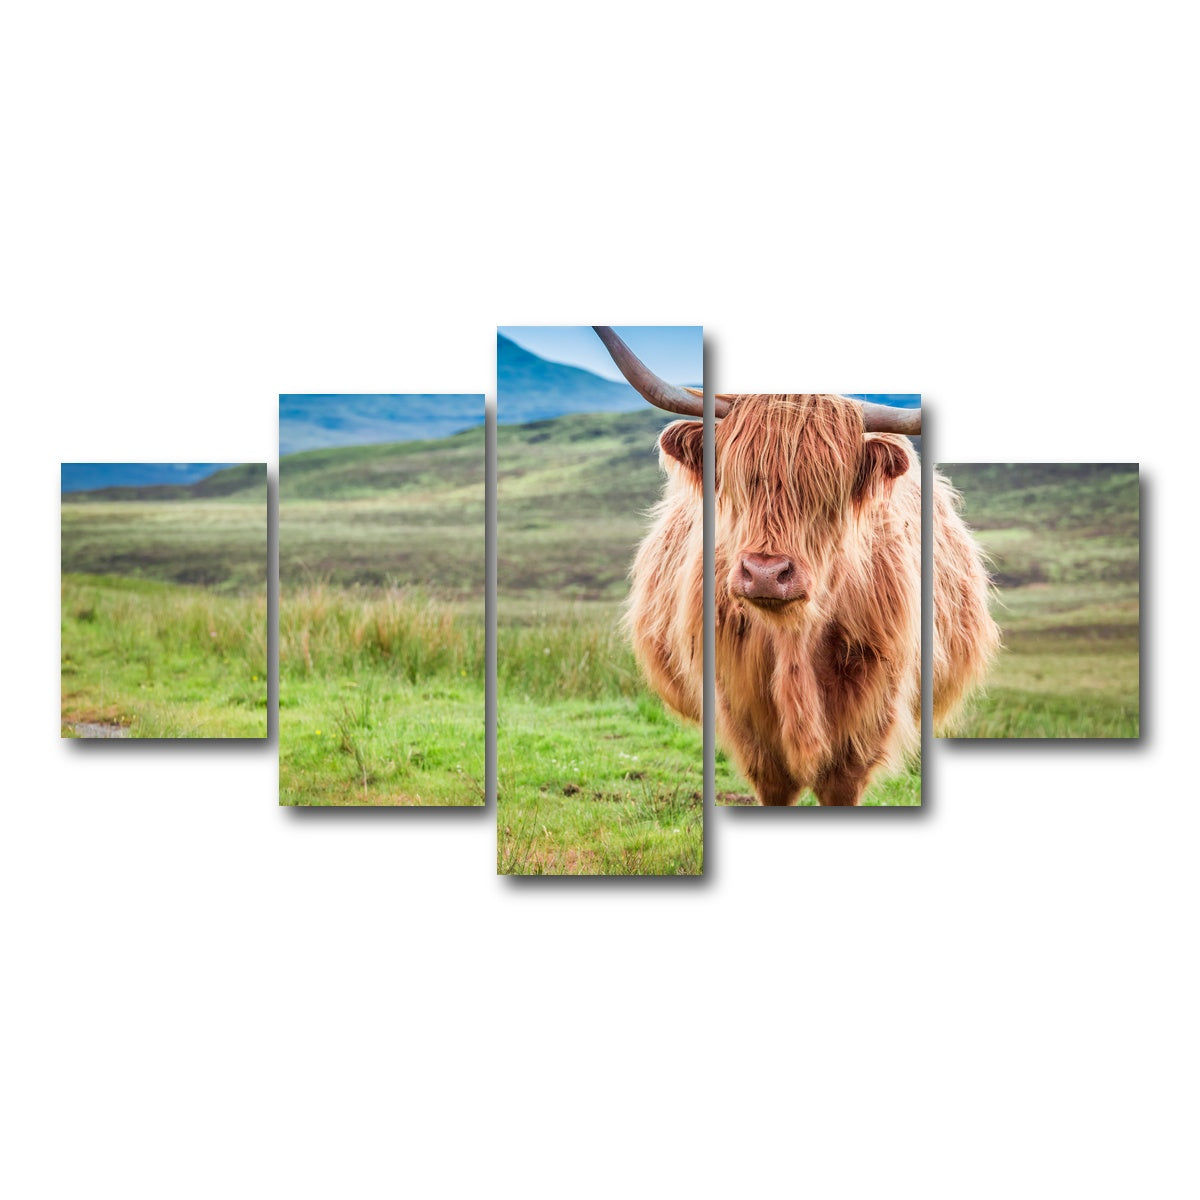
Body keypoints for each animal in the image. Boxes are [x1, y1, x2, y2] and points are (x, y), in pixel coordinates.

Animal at [592, 326, 998, 806]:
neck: (794, 641)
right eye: (737, 481)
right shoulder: (743, 715)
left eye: (828, 489)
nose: (766, 573)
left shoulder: (865, 723)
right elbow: (774, 783)